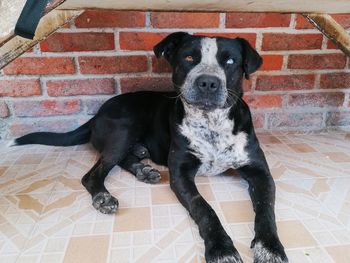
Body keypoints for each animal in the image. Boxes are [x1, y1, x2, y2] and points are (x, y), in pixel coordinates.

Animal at [12, 33, 288, 263]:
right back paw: (104, 196)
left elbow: (266, 211)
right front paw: (222, 249)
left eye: (230, 61)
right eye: (189, 58)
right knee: (94, 173)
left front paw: (270, 249)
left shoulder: (260, 172)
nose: (208, 83)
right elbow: (204, 209)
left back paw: (143, 170)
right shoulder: (181, 174)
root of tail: (98, 112)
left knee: (121, 160)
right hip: (124, 129)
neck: (212, 124)